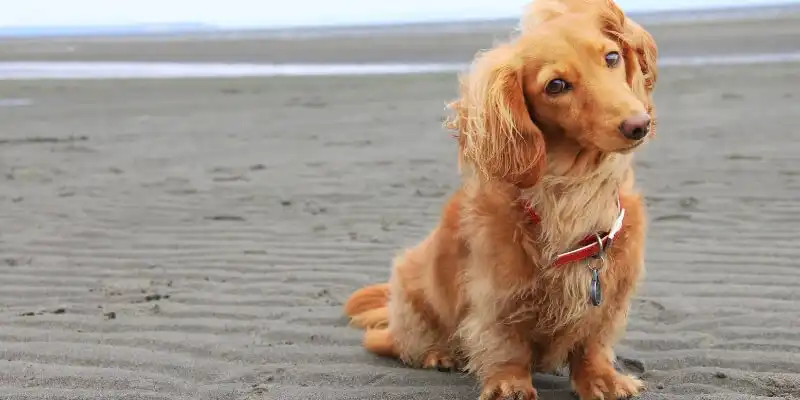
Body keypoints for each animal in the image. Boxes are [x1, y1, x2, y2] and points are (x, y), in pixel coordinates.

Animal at [340, 1, 660, 398]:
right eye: (556, 85)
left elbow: (592, 341)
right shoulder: (496, 297)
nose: (638, 125)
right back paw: (437, 354)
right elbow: (504, 344)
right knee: (392, 344)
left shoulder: (608, 296)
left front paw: (602, 379)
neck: (574, 191)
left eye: (612, 57)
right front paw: (509, 385)